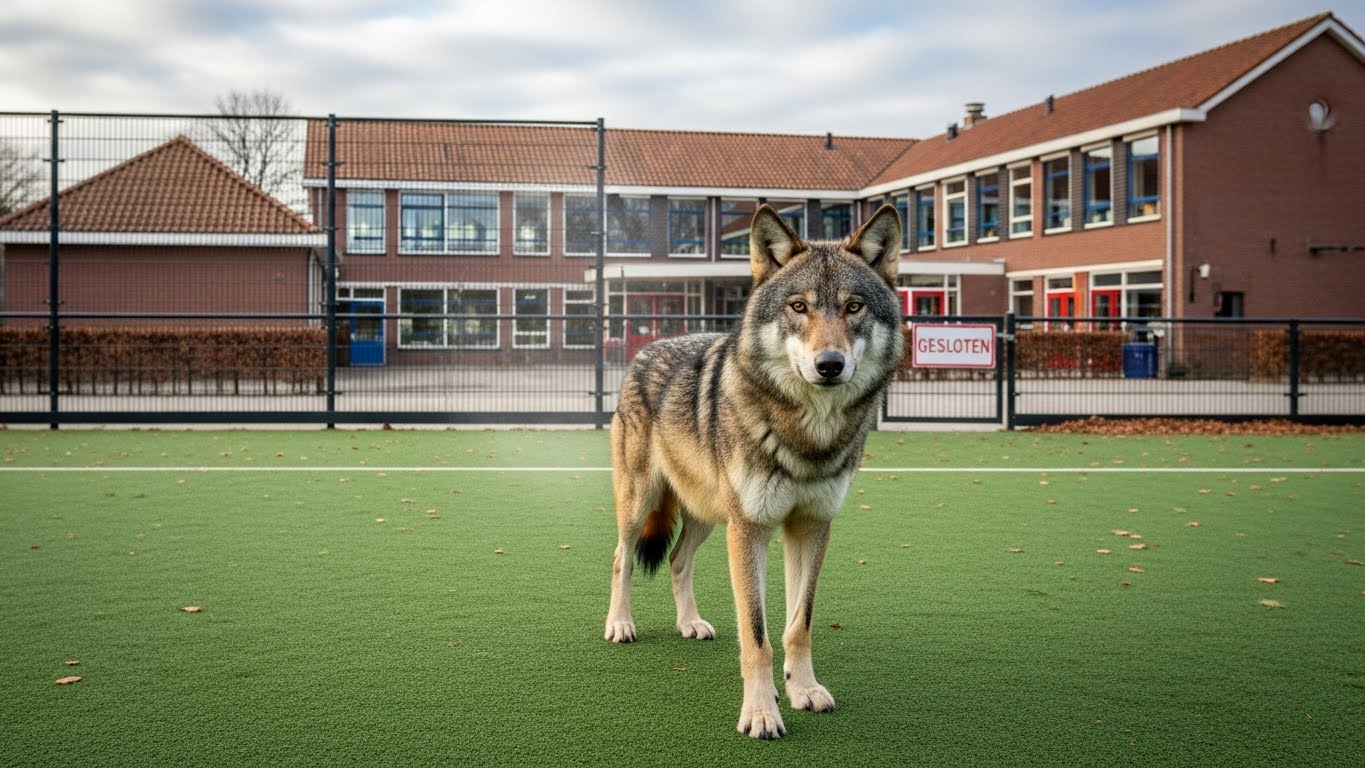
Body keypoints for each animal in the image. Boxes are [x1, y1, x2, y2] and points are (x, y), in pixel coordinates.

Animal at [604, 203, 905, 739]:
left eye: (853, 307)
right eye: (799, 307)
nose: (830, 364)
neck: (809, 435)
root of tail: (647, 347)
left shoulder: (811, 527)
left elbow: (798, 624)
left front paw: (803, 689)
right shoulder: (751, 529)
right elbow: (758, 633)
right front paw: (762, 713)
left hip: (708, 515)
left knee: (678, 559)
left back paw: (691, 623)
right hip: (645, 503)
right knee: (622, 558)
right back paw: (620, 625)